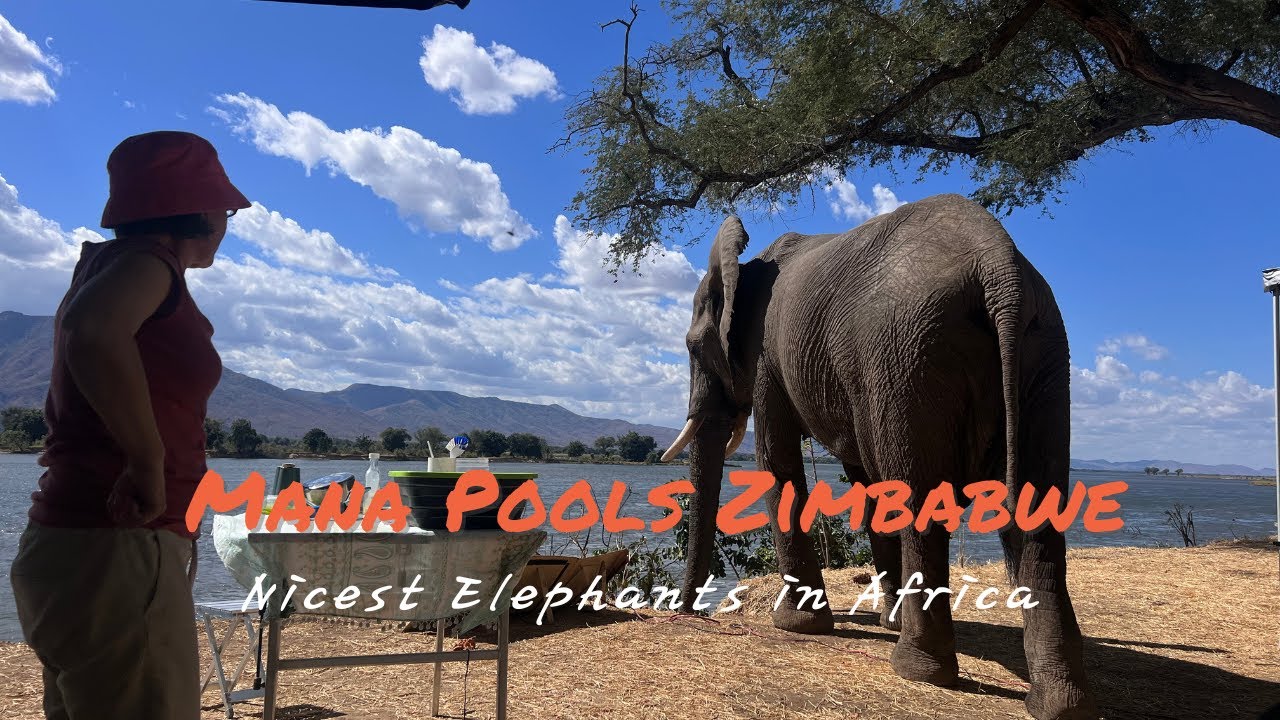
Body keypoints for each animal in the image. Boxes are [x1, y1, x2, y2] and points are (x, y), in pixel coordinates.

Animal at [661, 194, 1096, 720]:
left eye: (692, 348)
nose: (688, 614)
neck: (742, 266)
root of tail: (1000, 266)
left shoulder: (768, 357)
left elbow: (778, 461)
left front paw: (796, 626)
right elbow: (865, 480)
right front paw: (887, 620)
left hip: (909, 357)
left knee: (921, 502)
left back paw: (917, 670)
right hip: (1041, 351)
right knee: (1036, 516)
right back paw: (1058, 704)